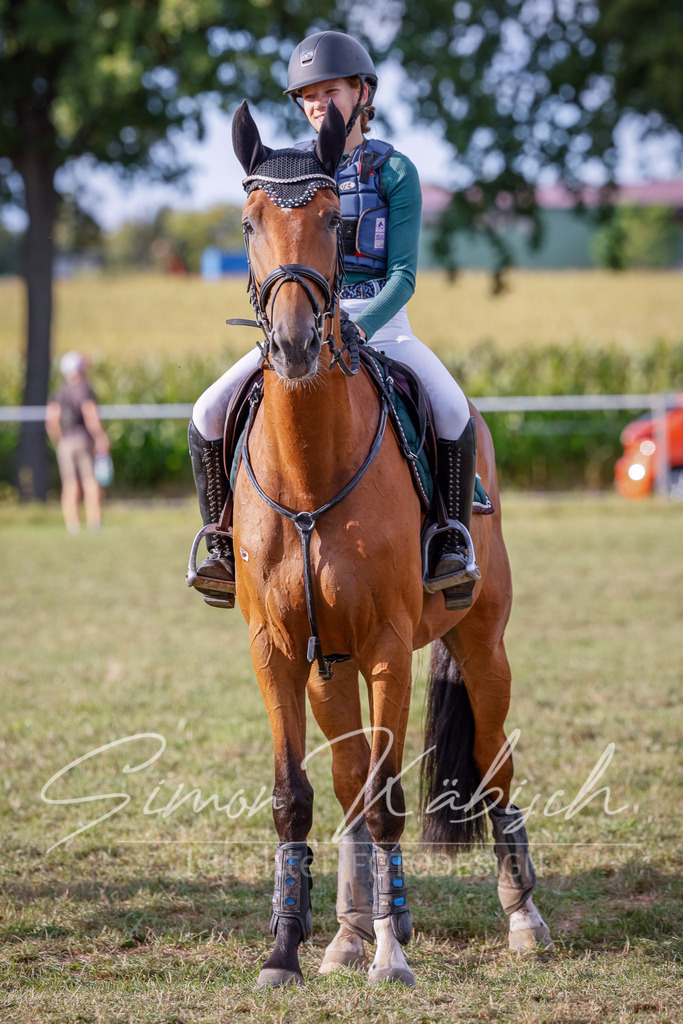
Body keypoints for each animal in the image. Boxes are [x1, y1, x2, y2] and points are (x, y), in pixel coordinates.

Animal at [228, 99, 552, 988]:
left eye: (334, 223)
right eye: (248, 223)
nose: (296, 345)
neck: (311, 476)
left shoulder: (387, 645)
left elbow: (390, 801)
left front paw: (392, 955)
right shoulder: (277, 649)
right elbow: (299, 797)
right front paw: (287, 950)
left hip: (480, 646)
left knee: (493, 761)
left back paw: (520, 918)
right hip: (328, 666)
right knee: (347, 783)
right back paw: (348, 930)